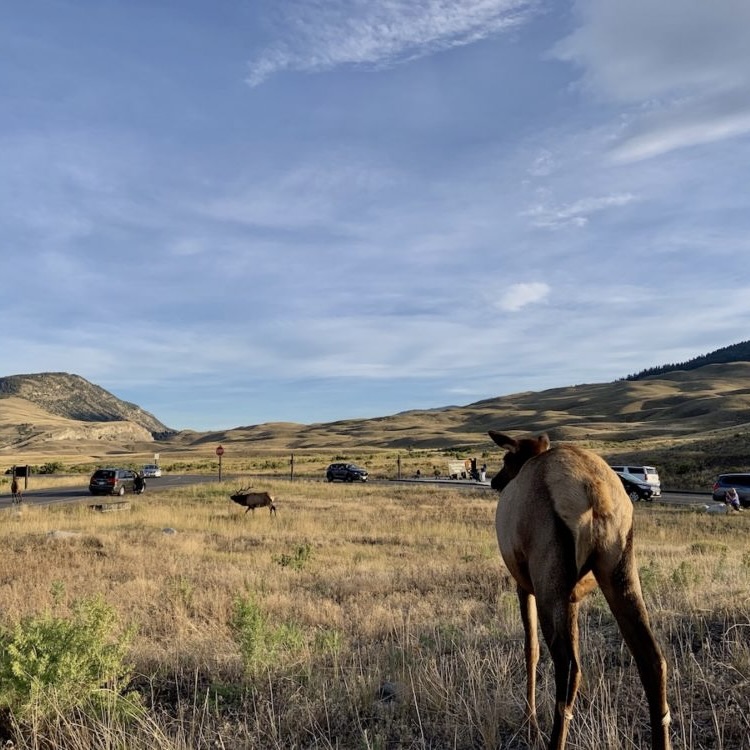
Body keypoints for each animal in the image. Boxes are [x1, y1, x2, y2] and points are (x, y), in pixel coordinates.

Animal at [488, 430, 671, 750]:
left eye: (507, 459)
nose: (495, 481)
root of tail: (595, 494)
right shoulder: (571, 597)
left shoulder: (524, 585)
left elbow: (530, 649)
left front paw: (529, 722)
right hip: (619, 570)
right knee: (653, 660)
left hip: (549, 580)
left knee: (569, 668)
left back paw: (553, 740)